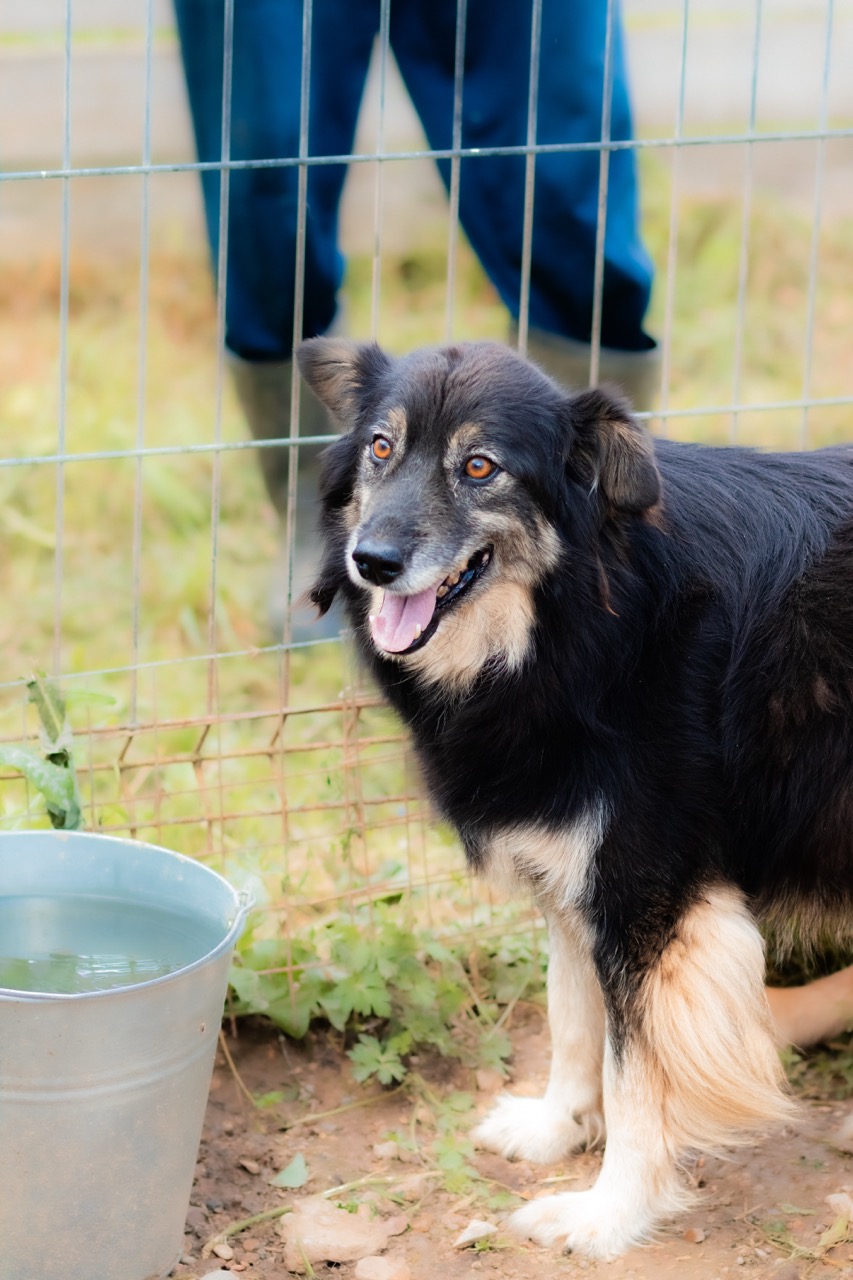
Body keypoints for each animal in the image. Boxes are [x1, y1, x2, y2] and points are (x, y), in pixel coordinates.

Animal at [296, 336, 853, 1258]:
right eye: (380, 447)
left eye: (479, 467)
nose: (369, 563)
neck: (585, 619)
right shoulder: (569, 875)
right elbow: (570, 1022)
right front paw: (557, 1129)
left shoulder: (647, 901)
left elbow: (634, 1077)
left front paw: (606, 1213)